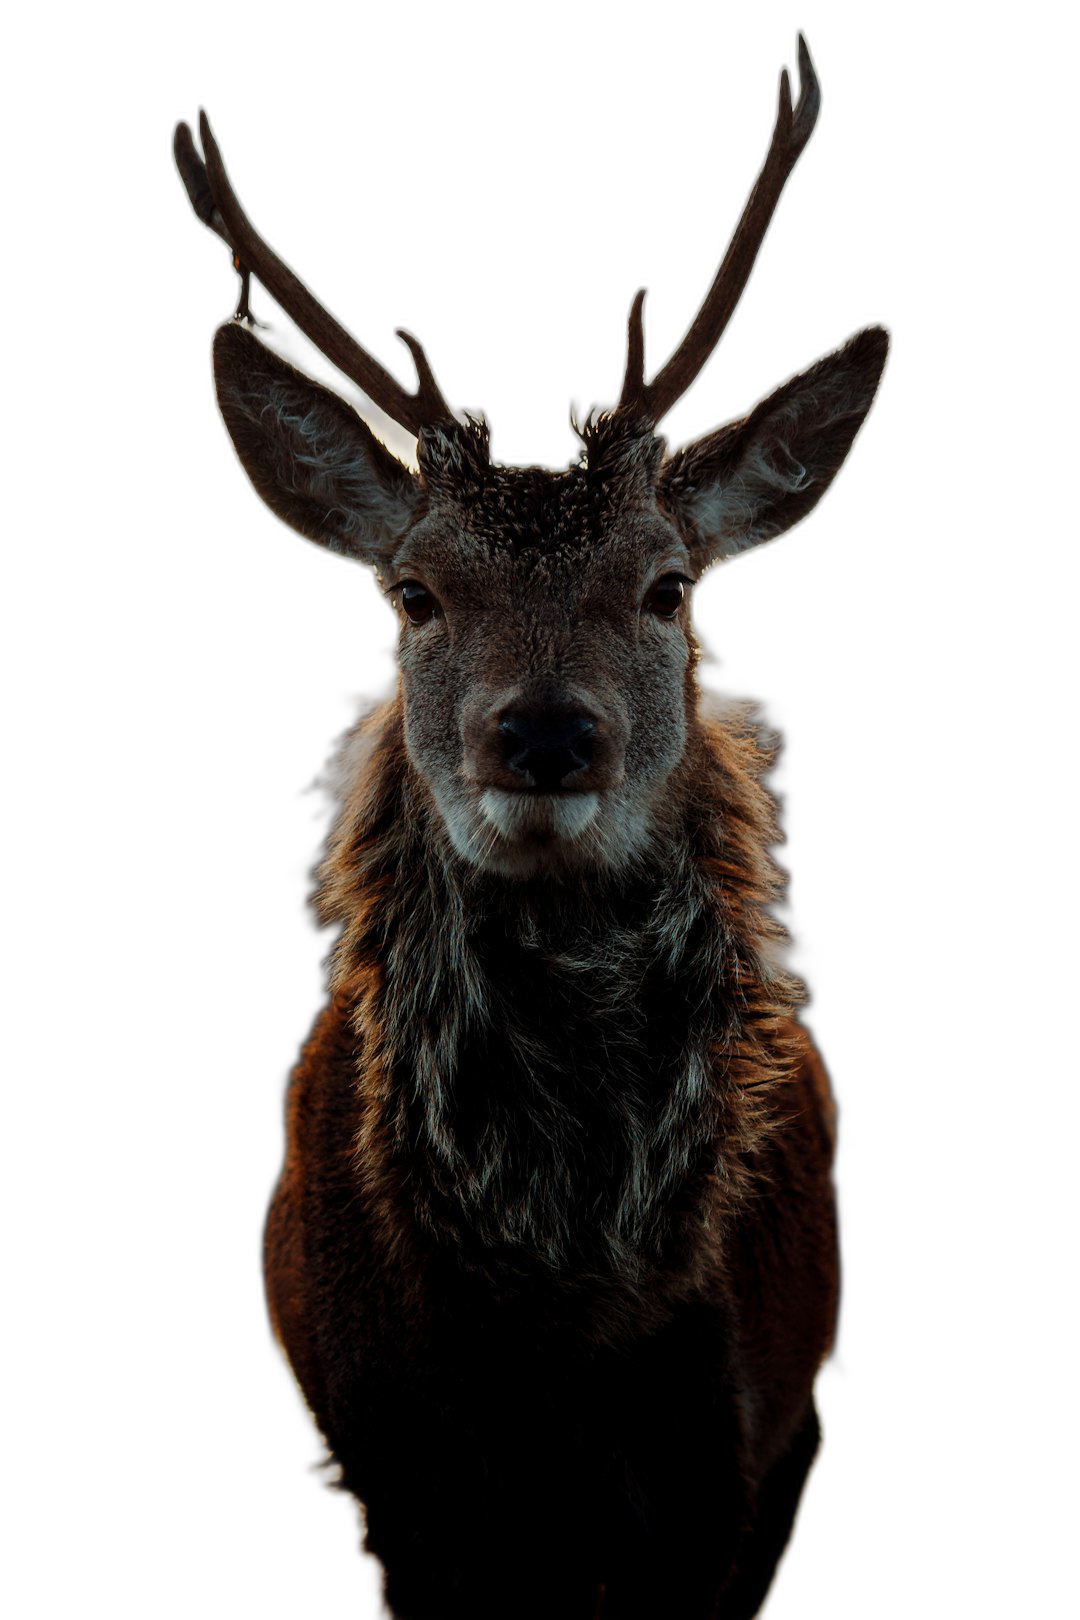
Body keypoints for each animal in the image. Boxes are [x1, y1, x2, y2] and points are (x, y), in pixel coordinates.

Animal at [175, 38, 887, 1620]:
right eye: (415, 594)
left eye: (670, 588)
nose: (548, 732)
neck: (568, 1318)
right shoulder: (392, 1460)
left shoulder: (748, 1456)